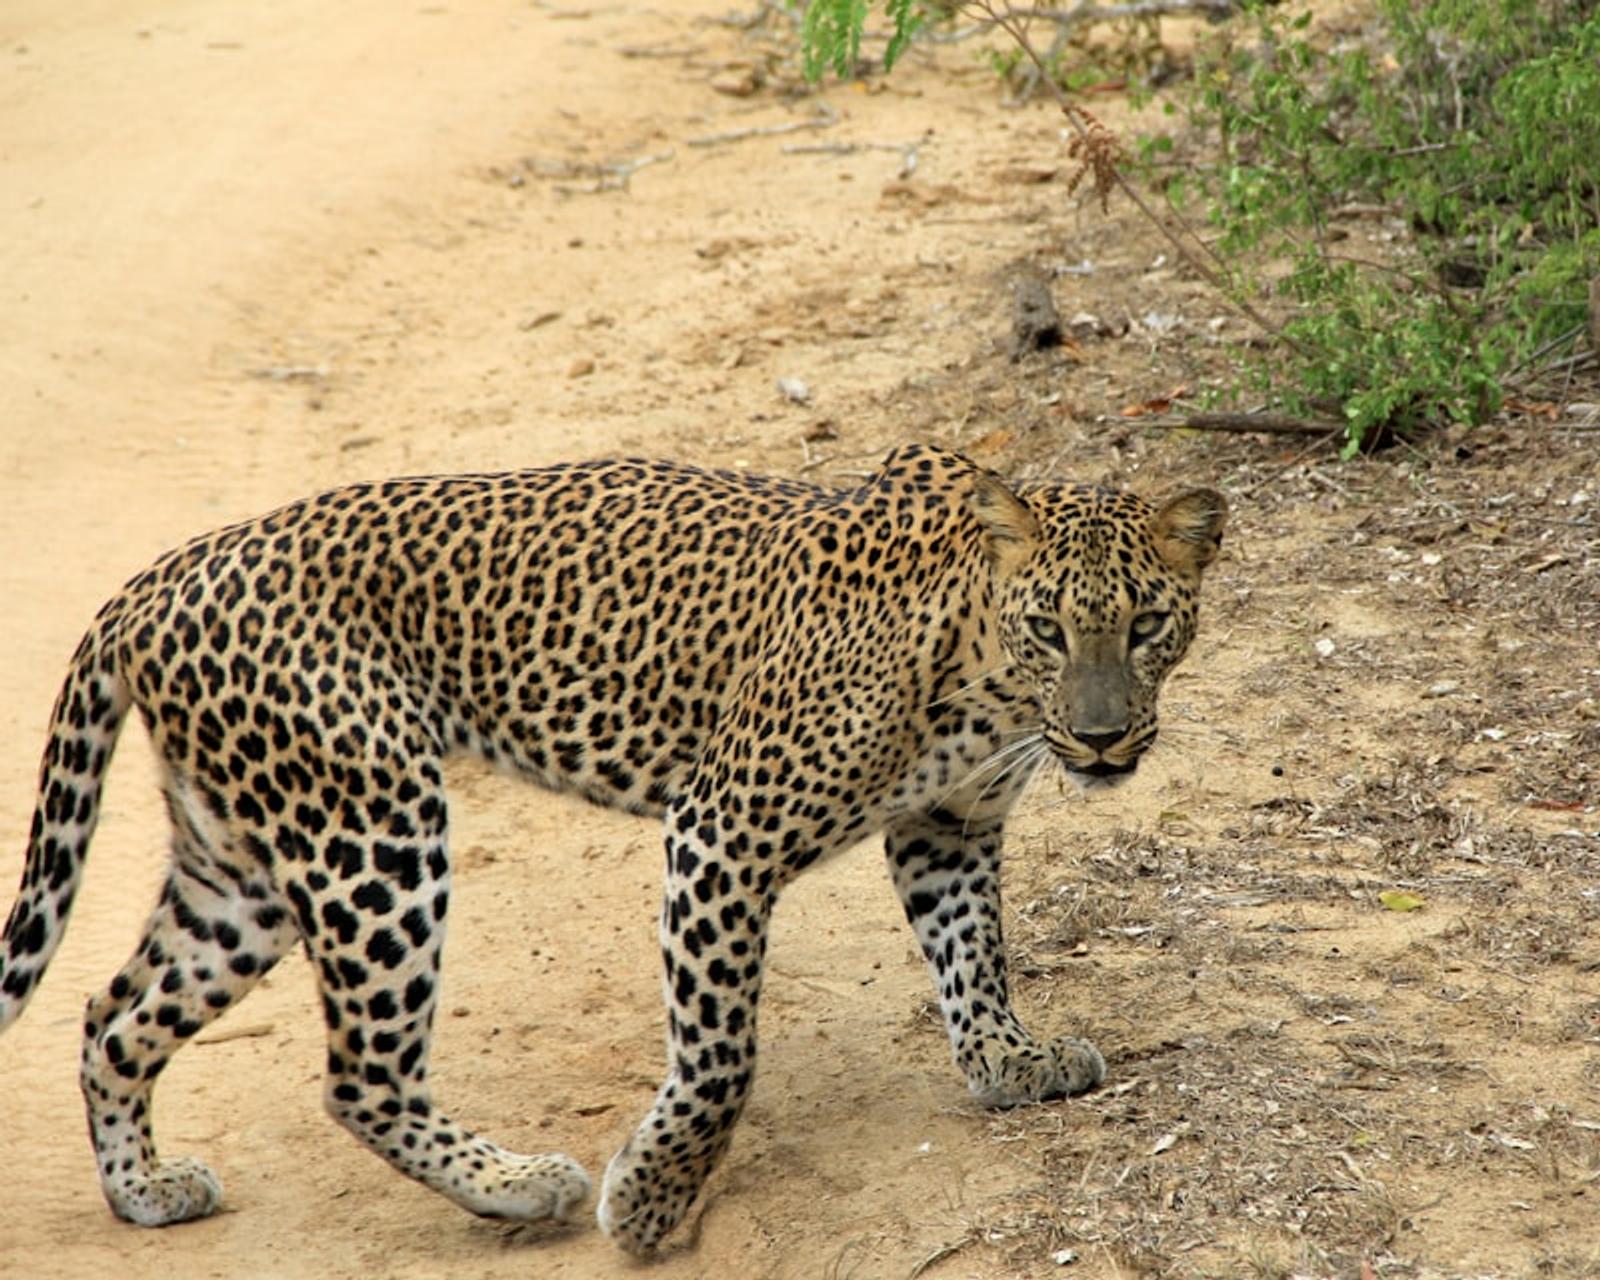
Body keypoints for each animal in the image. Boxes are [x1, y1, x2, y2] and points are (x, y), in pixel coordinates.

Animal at [0, 443, 1225, 1253]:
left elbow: (975, 955)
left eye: (1146, 627)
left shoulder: (949, 825)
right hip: (371, 829)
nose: (1104, 736)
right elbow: (722, 1055)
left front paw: (1010, 1058)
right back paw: (518, 1182)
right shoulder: (722, 834)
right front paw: (648, 1201)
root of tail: (151, 582)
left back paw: (146, 1191)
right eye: (1051, 628)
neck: (983, 678)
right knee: (358, 1073)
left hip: (244, 868)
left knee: (113, 1014)